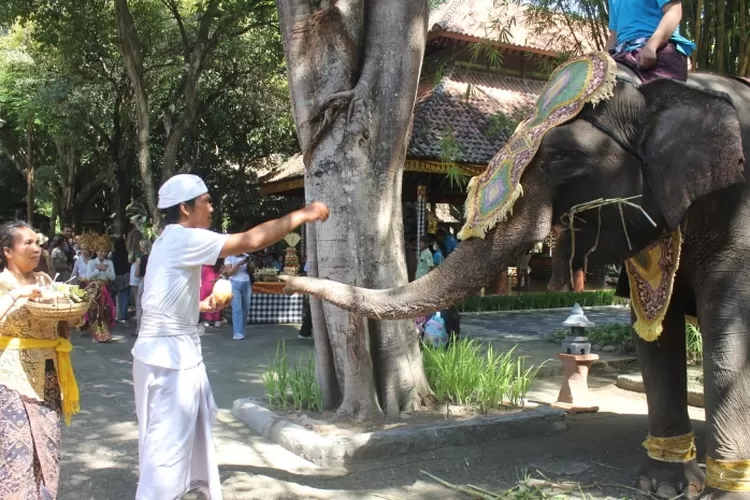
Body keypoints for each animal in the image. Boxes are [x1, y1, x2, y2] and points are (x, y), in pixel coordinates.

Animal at [282, 59, 750, 500]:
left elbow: (726, 331)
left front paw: (723, 492)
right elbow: (654, 331)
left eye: (563, 158)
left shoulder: (738, 211)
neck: (671, 92)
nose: (287, 279)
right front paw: (664, 486)